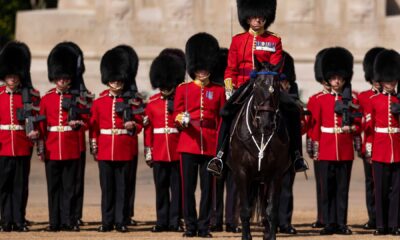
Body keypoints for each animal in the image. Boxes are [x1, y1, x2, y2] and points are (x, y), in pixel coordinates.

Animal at [228, 61, 290, 239]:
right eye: (256, 86)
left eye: (276, 87)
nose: (266, 123)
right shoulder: (242, 172)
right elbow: (245, 209)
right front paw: (246, 236)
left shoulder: (276, 174)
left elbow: (271, 210)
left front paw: (271, 236)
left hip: (264, 179)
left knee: (265, 206)